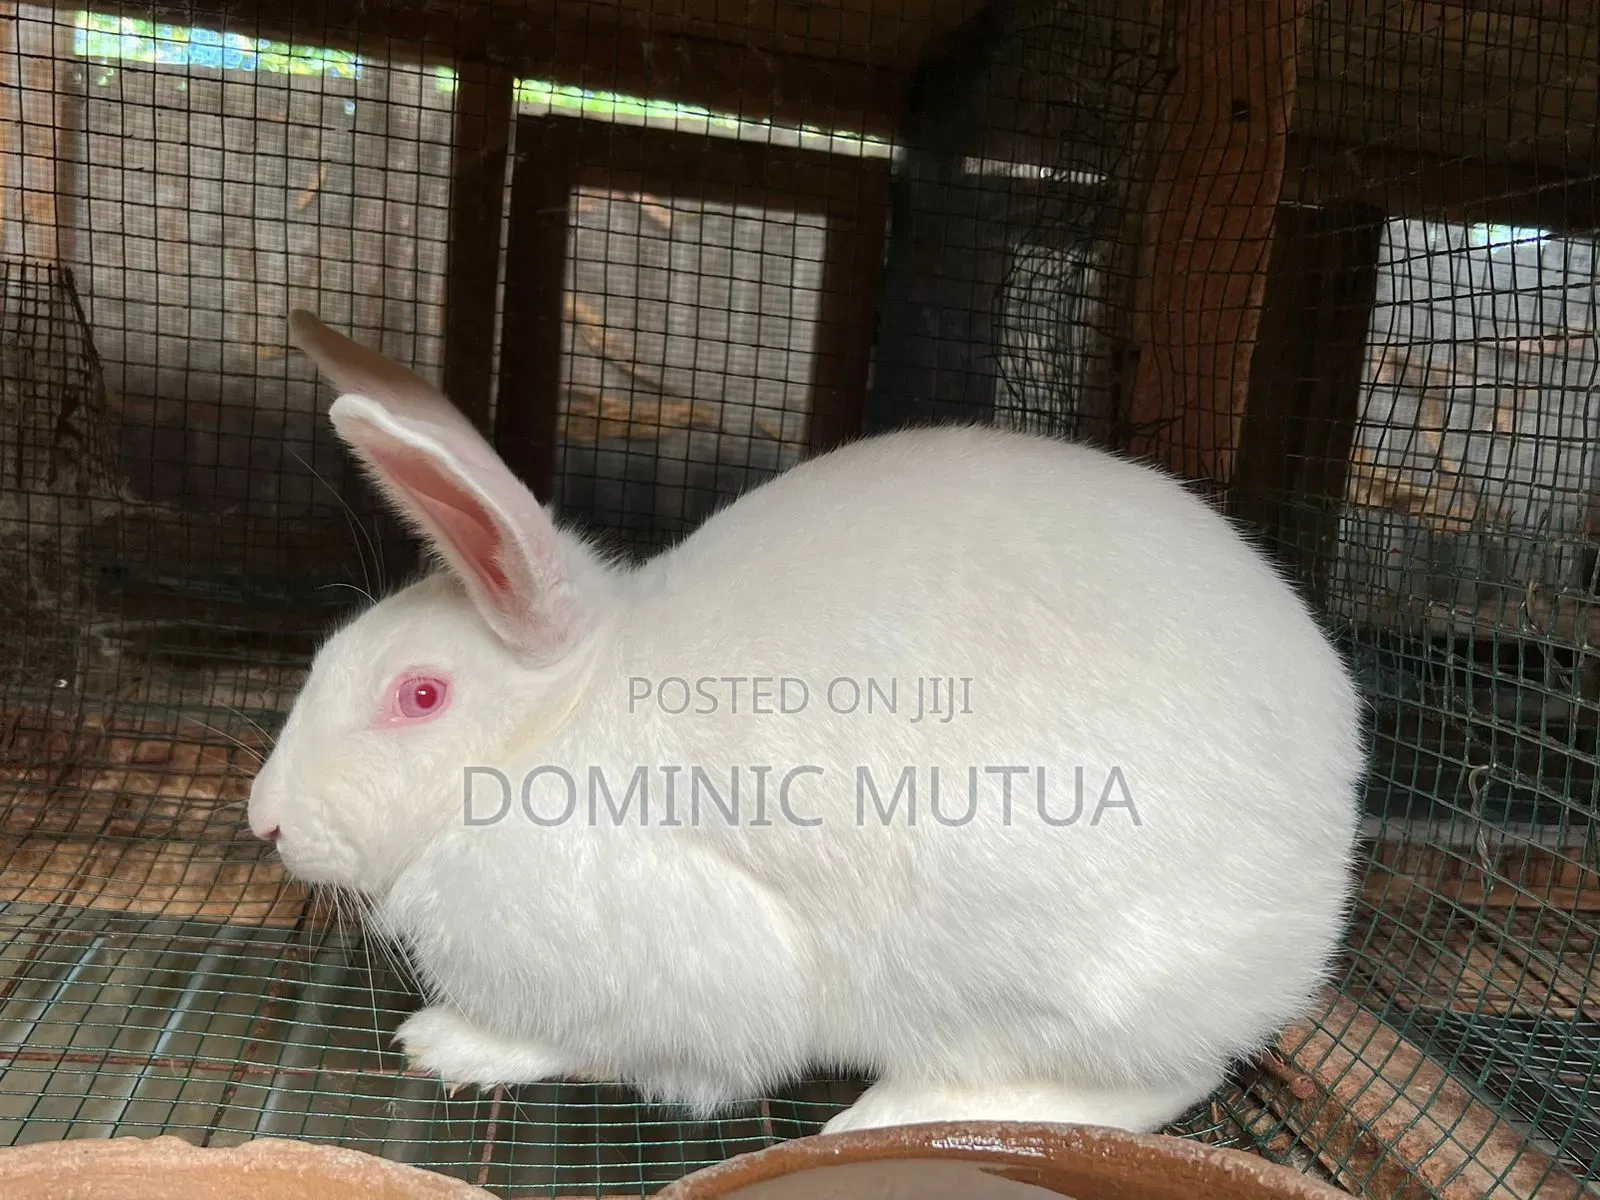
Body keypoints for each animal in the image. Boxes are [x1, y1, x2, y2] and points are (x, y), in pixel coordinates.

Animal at [247, 308, 1365, 1136]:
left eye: (420, 697)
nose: (264, 821)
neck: (553, 732)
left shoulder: (683, 966)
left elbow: (595, 1043)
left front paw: (447, 1044)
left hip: (1038, 977)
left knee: (1153, 1081)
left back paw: (884, 1119)